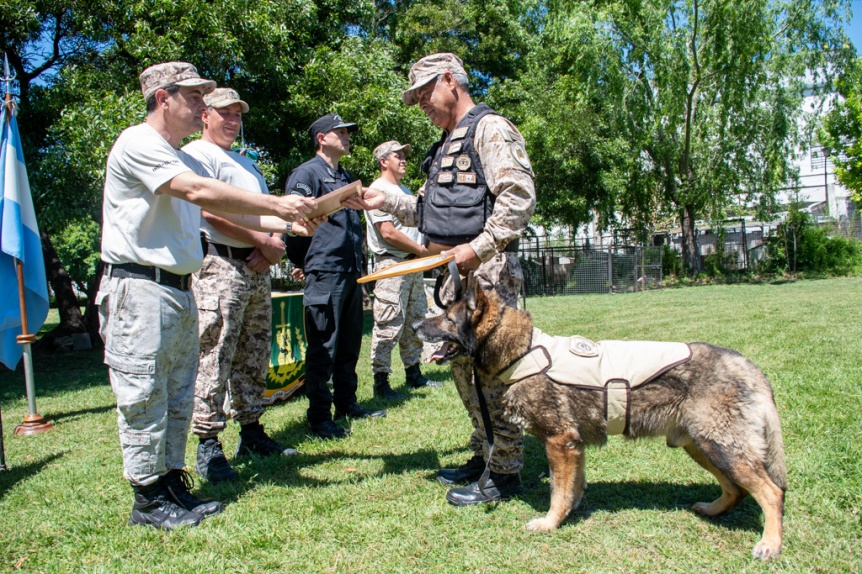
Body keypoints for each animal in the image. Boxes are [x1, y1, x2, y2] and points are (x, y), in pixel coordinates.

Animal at [418, 276, 788, 560]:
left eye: (448, 318)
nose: (419, 325)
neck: (524, 351)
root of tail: (748, 366)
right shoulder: (573, 447)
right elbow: (573, 487)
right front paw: (570, 512)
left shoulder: (560, 443)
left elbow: (558, 491)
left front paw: (550, 523)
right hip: (702, 447)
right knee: (736, 490)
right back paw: (712, 510)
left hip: (720, 448)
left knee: (771, 492)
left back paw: (770, 544)